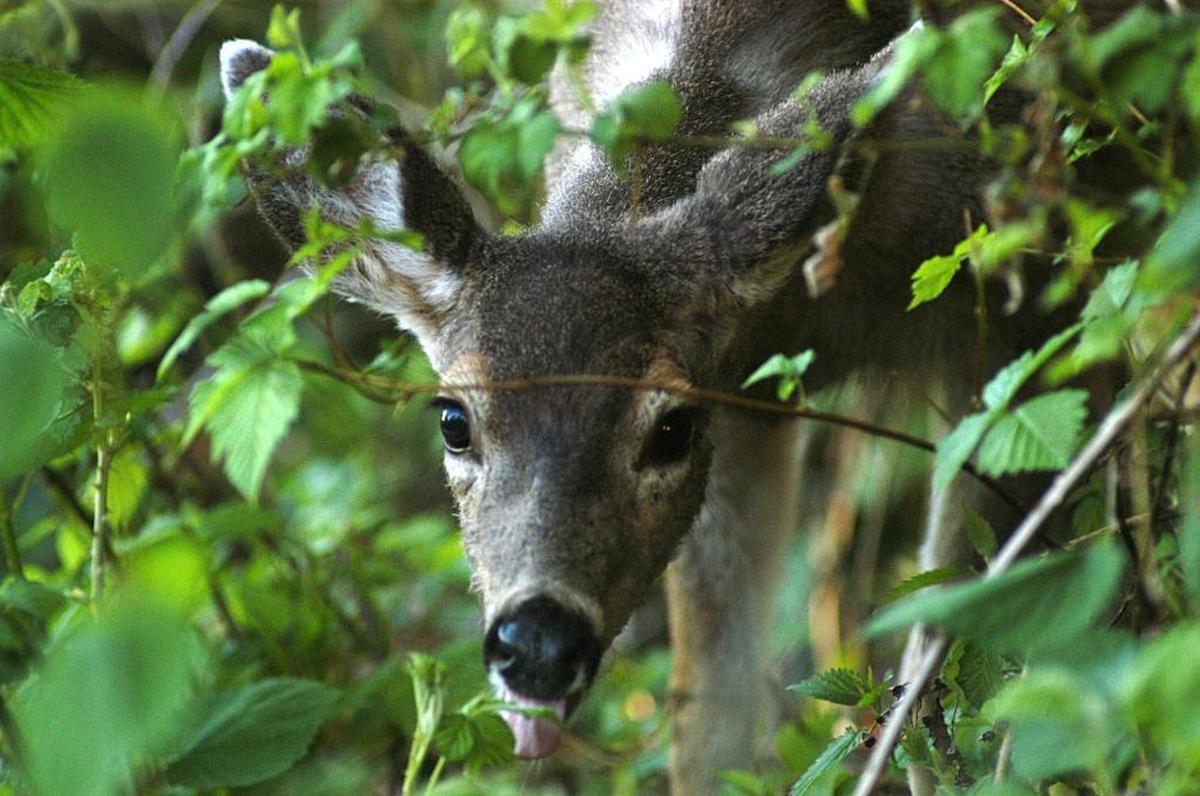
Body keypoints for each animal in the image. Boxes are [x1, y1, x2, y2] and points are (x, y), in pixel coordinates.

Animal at [219, 1, 1100, 792]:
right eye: (452, 420)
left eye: (670, 427)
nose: (537, 645)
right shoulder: (744, 406)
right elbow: (709, 717)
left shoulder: (1022, 323)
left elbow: (966, 639)